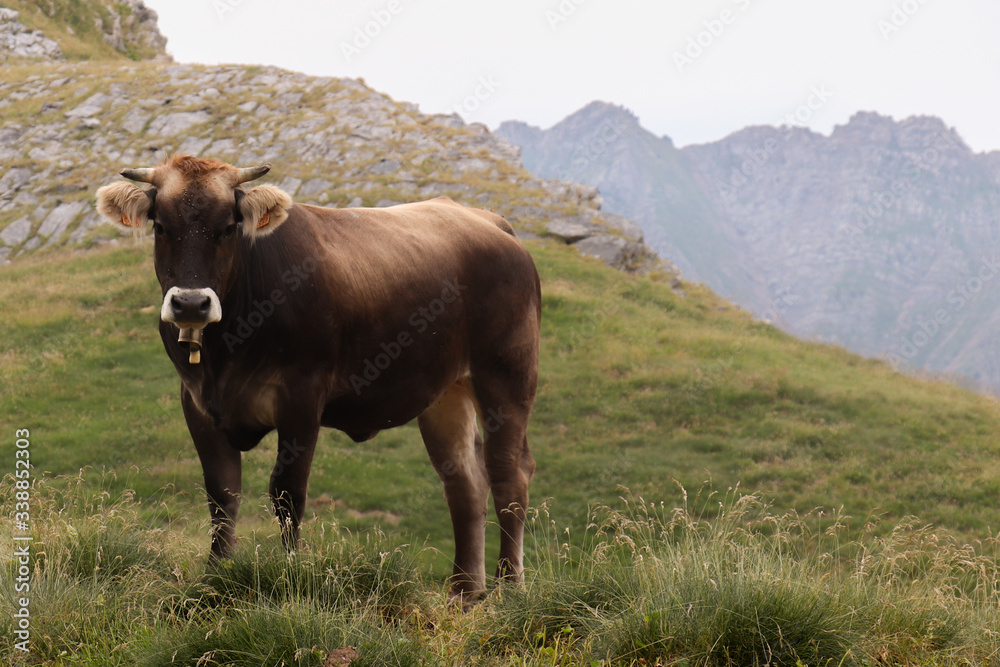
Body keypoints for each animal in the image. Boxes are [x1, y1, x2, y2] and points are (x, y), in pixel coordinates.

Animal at [95, 155, 540, 602]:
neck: (226, 351)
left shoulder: (302, 396)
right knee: (466, 483)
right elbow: (222, 495)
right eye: (160, 226)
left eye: (228, 227)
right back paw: (464, 595)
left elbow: (287, 492)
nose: (191, 303)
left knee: (508, 475)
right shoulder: (198, 403)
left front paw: (290, 573)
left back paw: (508, 588)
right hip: (445, 393)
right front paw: (214, 577)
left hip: (507, 377)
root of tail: (489, 221)